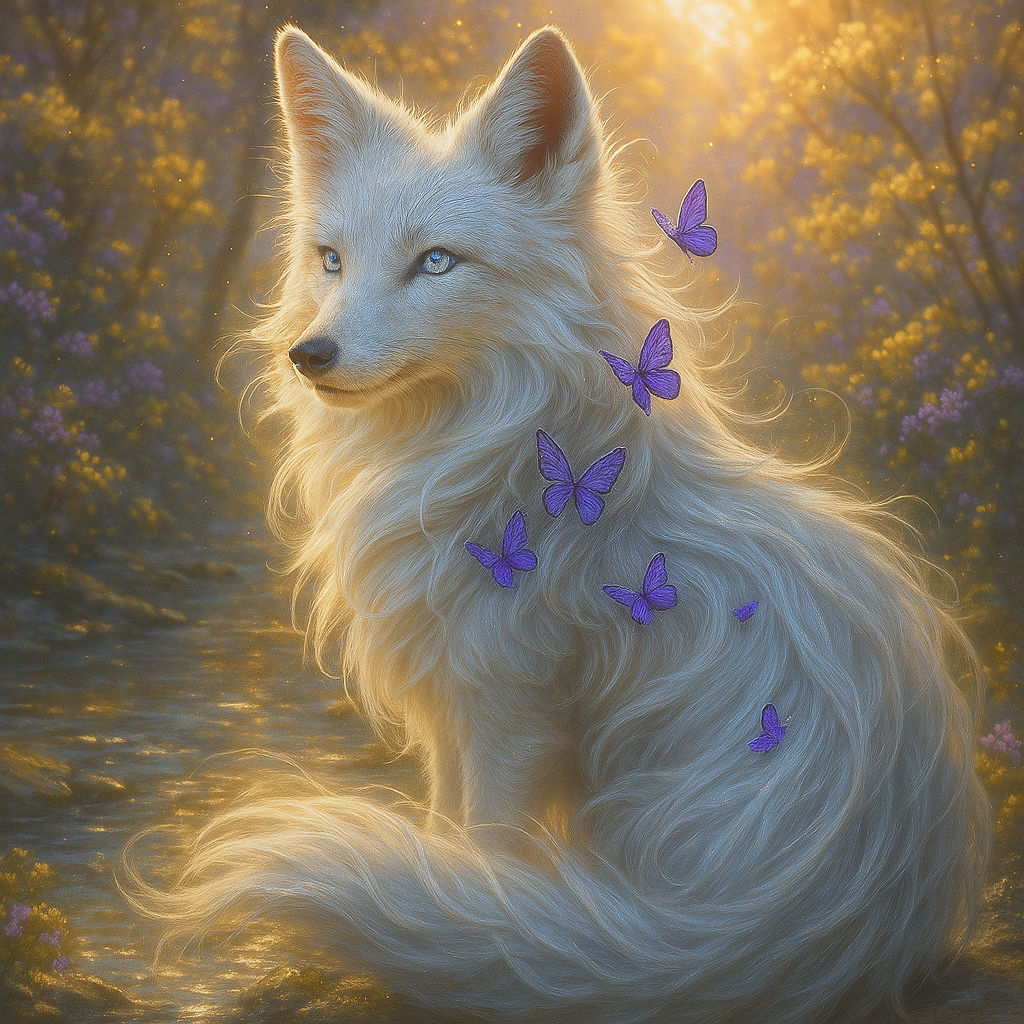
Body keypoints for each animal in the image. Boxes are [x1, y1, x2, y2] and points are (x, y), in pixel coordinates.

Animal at [127, 25, 990, 1024]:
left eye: (436, 262)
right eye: (331, 259)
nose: (309, 355)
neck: (477, 457)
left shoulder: (510, 709)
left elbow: (478, 857)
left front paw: (456, 931)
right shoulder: (454, 708)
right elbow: (444, 838)